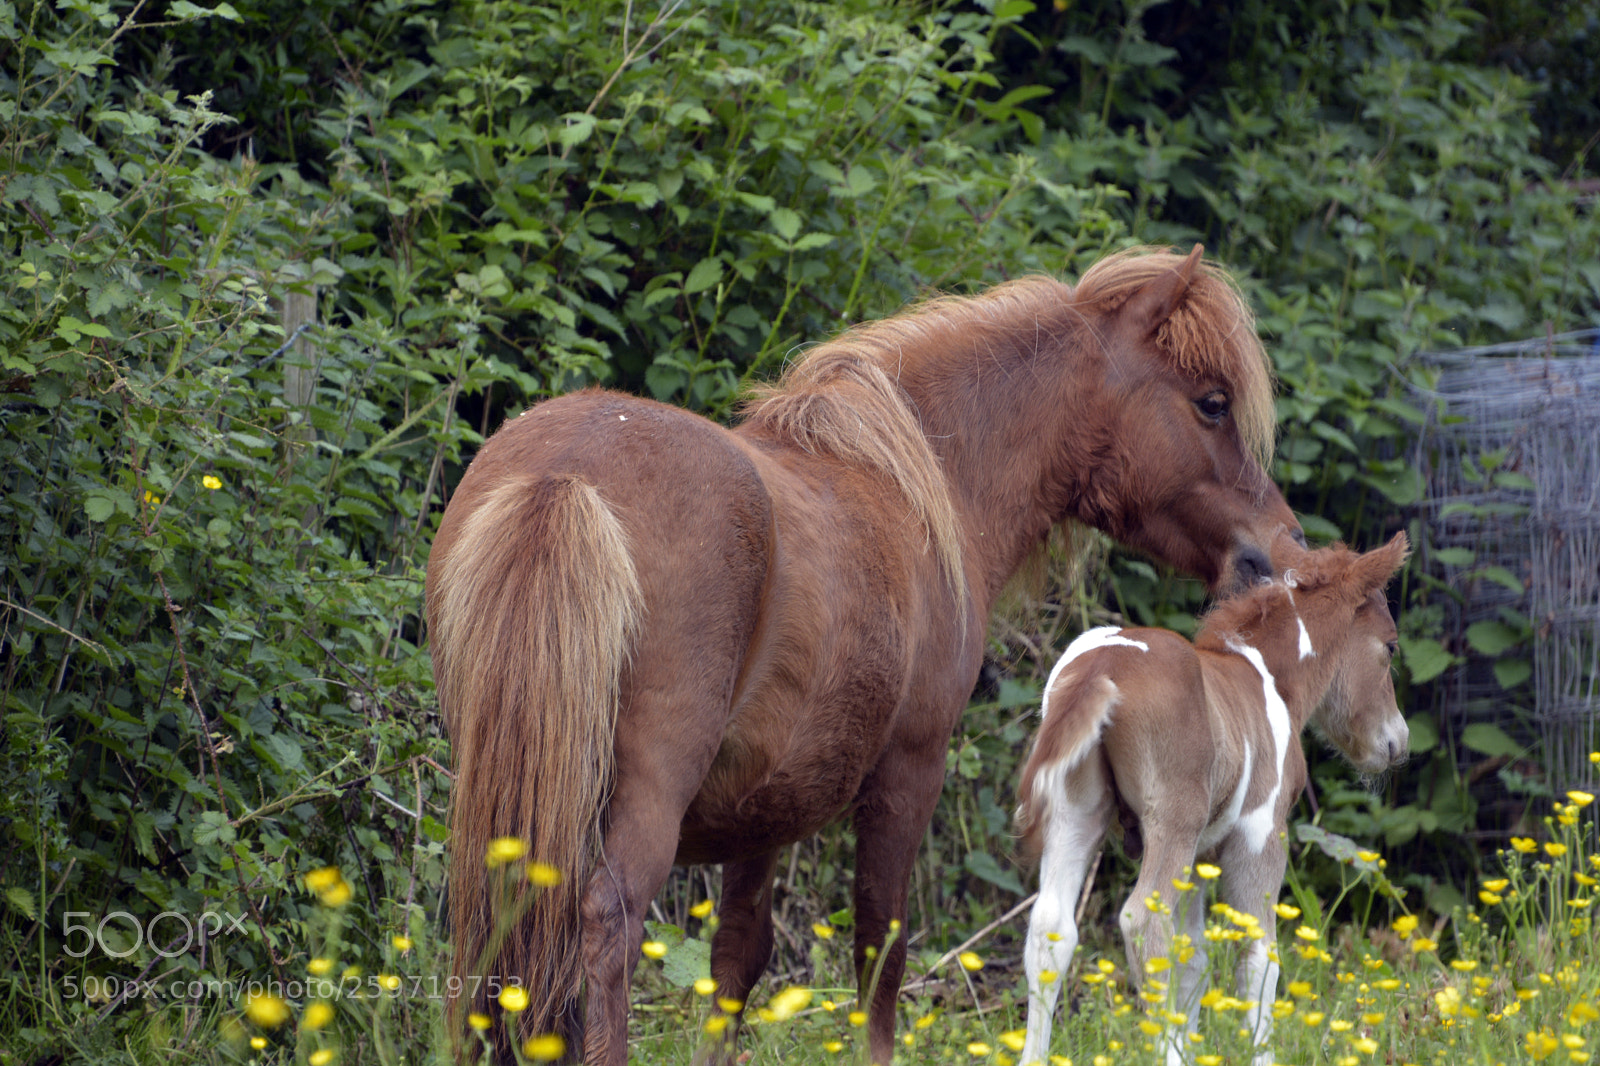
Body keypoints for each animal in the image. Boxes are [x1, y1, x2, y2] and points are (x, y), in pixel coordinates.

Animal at [424, 245, 1303, 1065]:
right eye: (1212, 403)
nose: (1278, 549)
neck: (923, 486)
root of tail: (564, 475)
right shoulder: (908, 770)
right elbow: (880, 949)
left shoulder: (761, 809)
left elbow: (737, 959)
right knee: (607, 919)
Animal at [1013, 531, 1411, 1066]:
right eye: (1389, 646)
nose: (1396, 741)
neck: (1268, 678)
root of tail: (1101, 666)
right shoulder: (1261, 835)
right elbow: (1258, 958)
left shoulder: (1201, 855)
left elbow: (1194, 959)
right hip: (1173, 818)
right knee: (1144, 923)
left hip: (1076, 812)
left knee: (1051, 928)